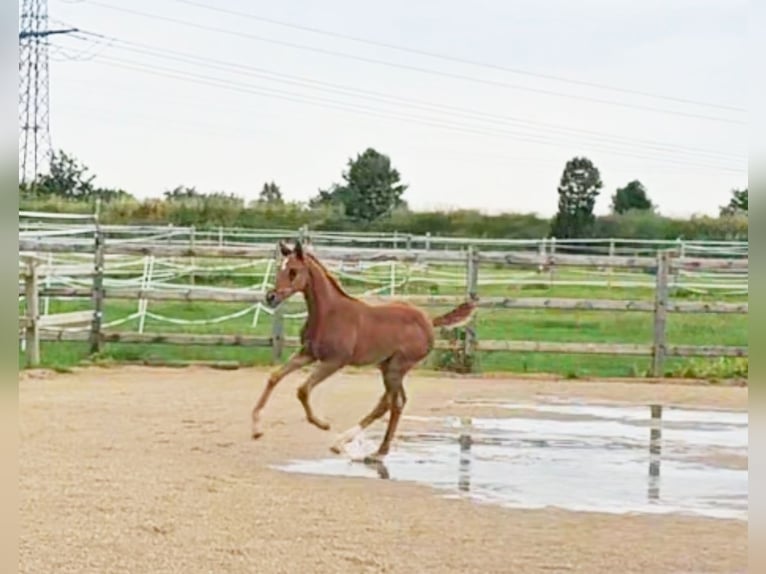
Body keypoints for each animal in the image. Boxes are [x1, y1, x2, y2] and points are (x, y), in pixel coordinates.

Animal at [252, 241, 476, 462]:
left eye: (293, 271)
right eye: (279, 269)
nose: (271, 297)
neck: (329, 313)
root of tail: (429, 320)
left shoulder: (335, 361)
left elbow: (303, 390)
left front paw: (323, 424)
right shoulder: (308, 353)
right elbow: (274, 377)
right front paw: (256, 429)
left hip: (397, 367)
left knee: (392, 404)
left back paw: (355, 446)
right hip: (386, 366)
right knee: (392, 402)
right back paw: (368, 449)